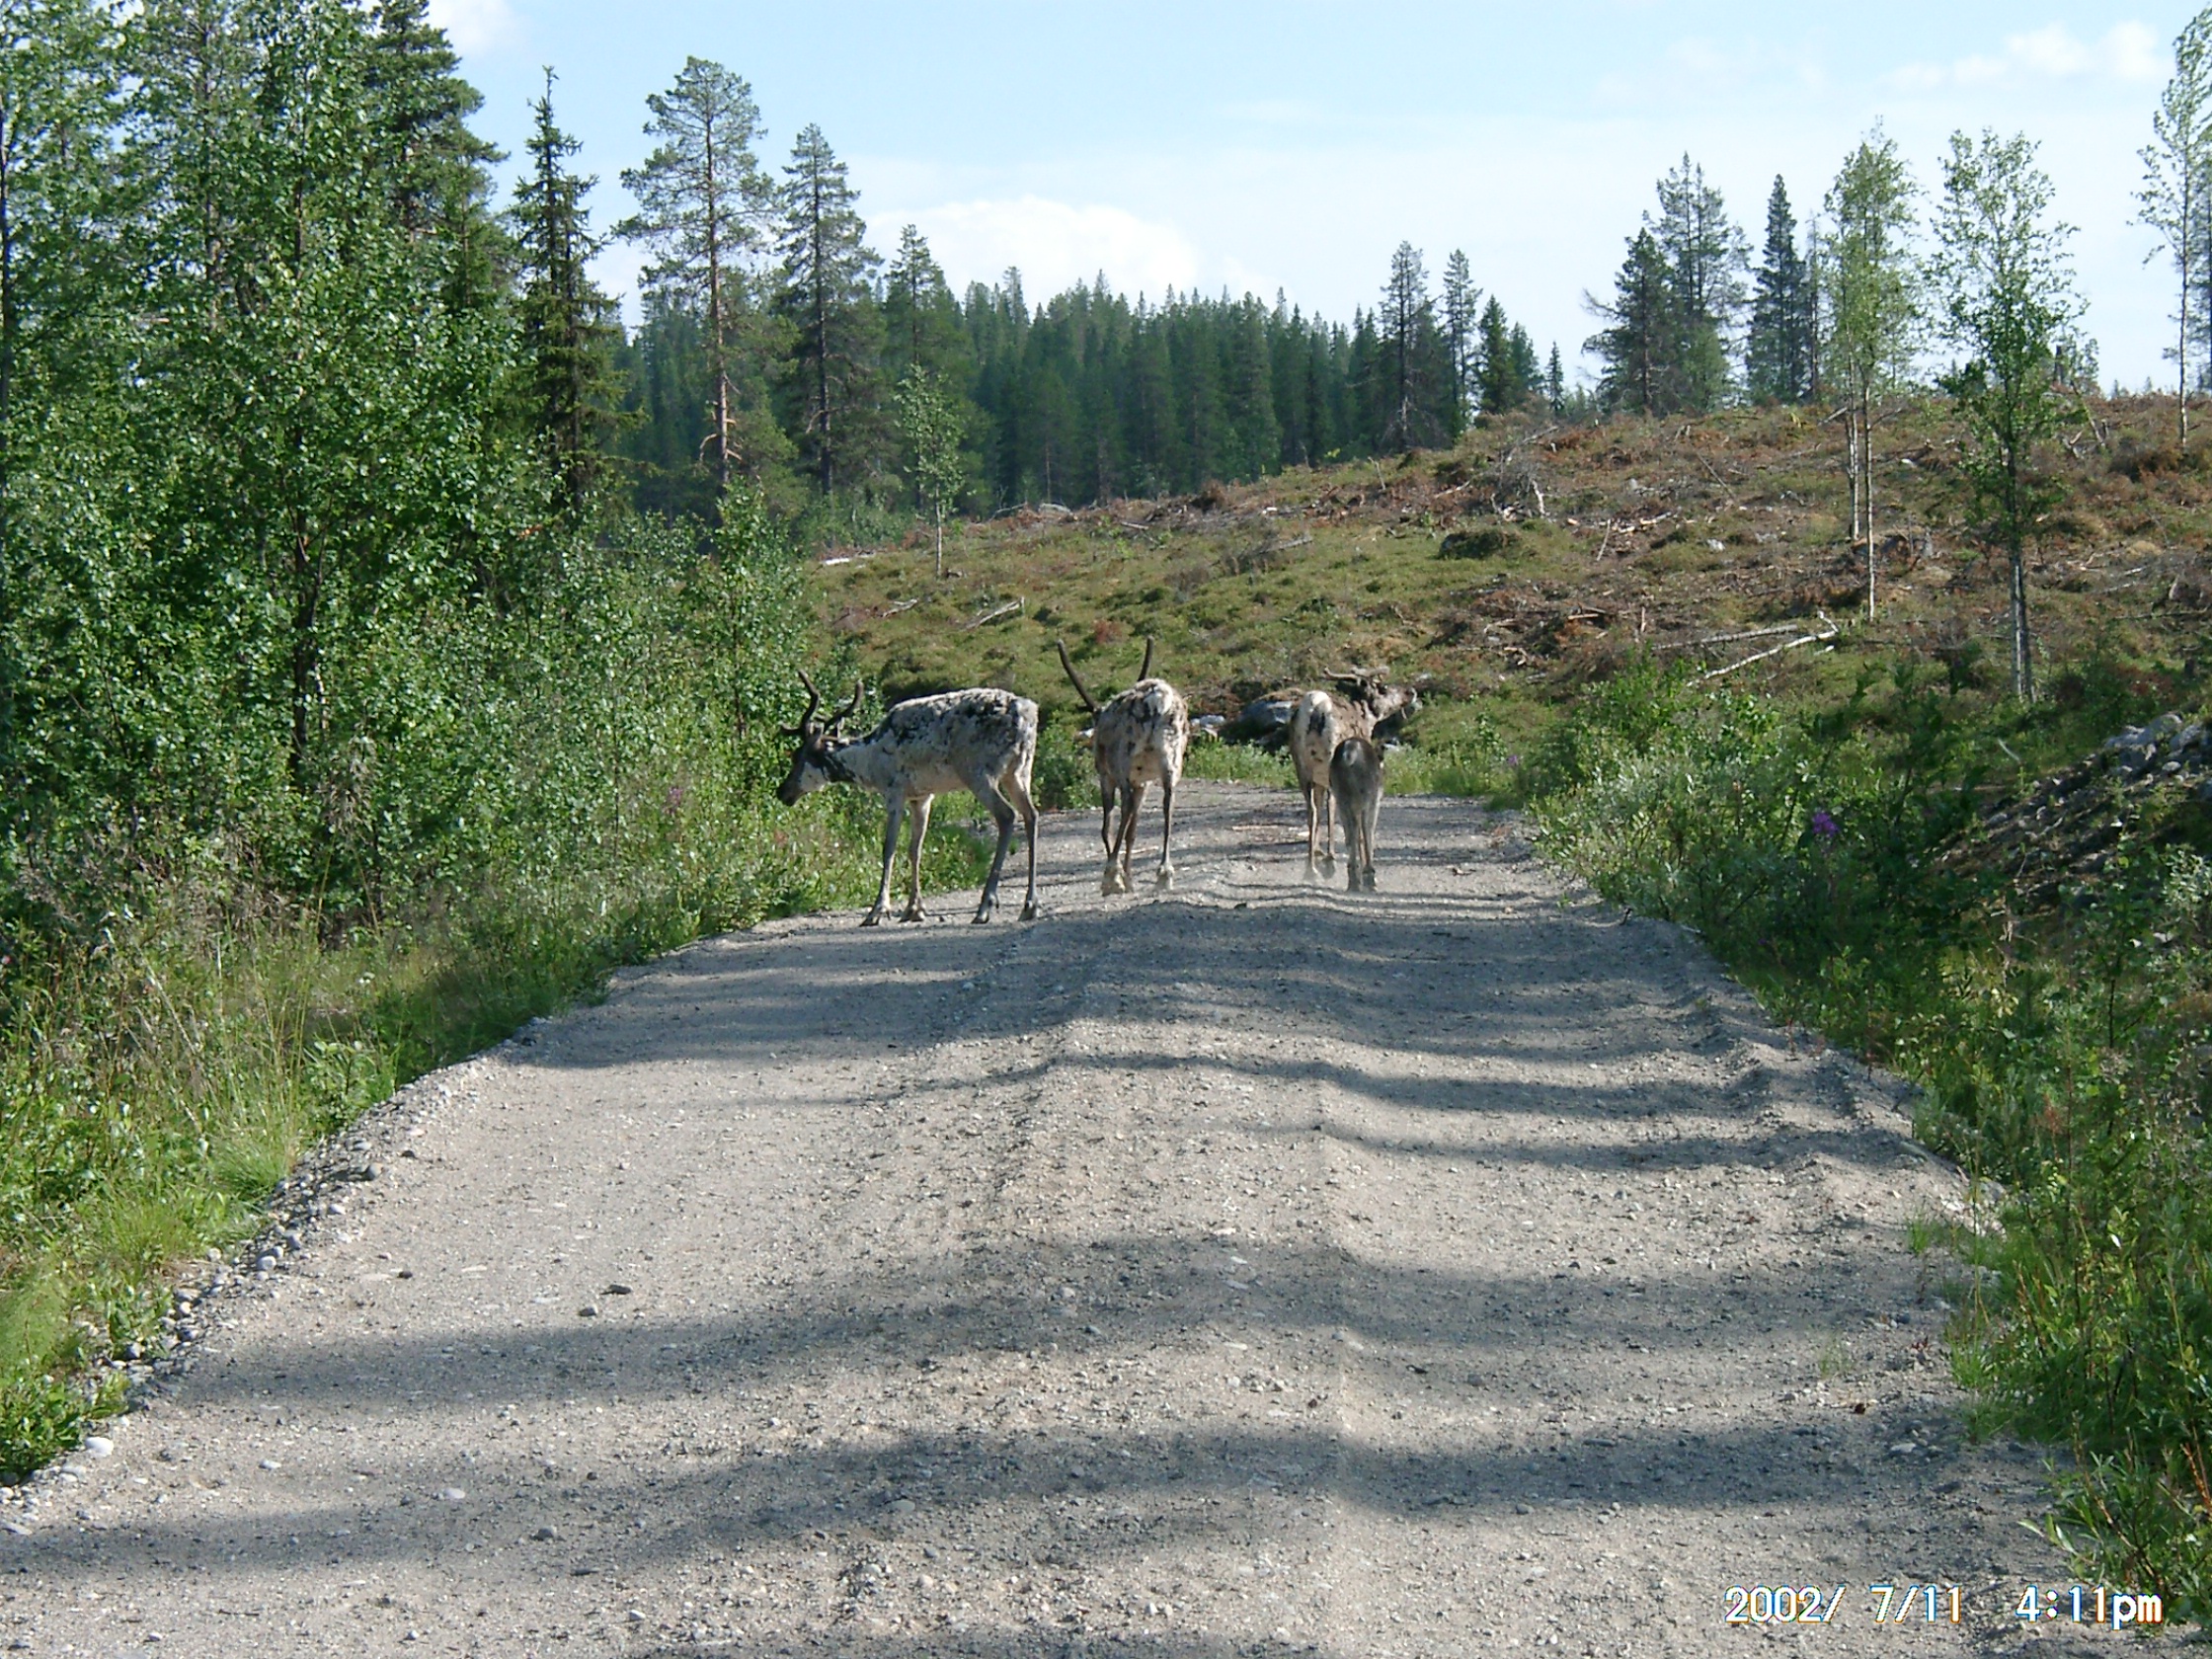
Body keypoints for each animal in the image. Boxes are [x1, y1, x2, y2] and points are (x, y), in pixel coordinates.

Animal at [776, 671, 1040, 926]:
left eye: (798, 756)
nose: (783, 791)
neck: (868, 762)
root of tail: (1027, 715)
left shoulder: (894, 791)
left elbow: (889, 848)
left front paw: (878, 910)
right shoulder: (921, 797)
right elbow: (915, 849)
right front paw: (914, 909)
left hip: (978, 771)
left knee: (1007, 815)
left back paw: (985, 906)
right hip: (1019, 771)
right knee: (1031, 814)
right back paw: (1030, 905)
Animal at [1056, 636, 1190, 894]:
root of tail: (1158, 700)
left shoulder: (1106, 777)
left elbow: (1106, 826)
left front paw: (1121, 876)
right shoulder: (1143, 783)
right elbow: (1132, 831)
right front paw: (1129, 877)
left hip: (1123, 760)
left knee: (1126, 804)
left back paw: (1111, 876)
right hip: (1170, 759)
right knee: (1168, 802)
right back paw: (1164, 873)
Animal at [1329, 735, 1384, 891]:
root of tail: (1349, 754)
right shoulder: (1375, 802)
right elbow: (1368, 834)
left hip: (1342, 797)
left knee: (1351, 833)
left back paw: (1353, 881)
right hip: (1367, 797)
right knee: (1364, 831)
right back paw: (1368, 878)